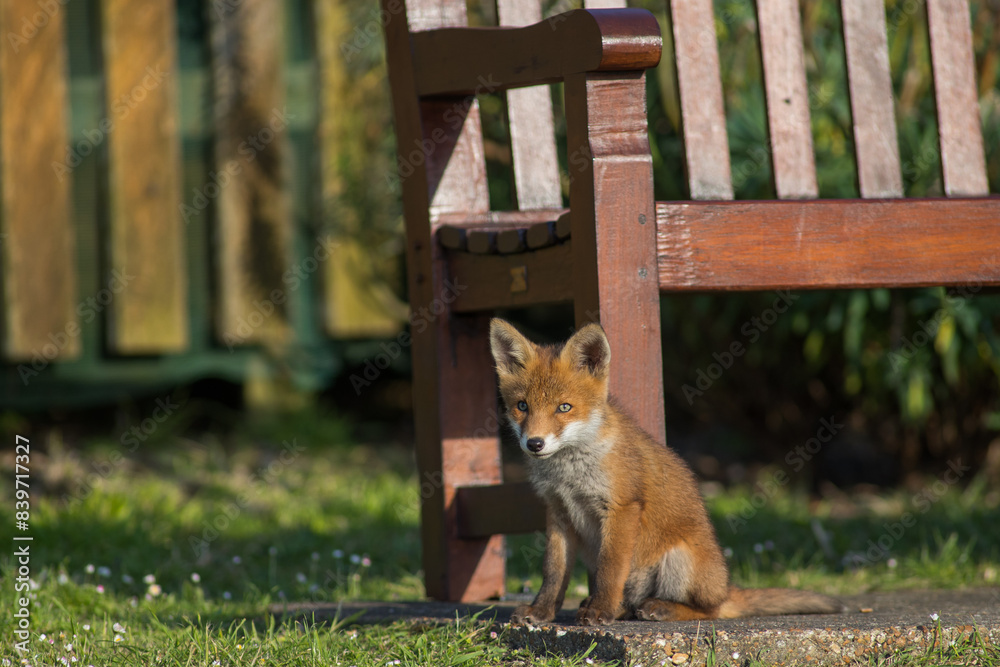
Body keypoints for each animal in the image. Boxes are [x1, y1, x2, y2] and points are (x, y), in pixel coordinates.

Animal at [489, 318, 846, 626]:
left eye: (564, 408)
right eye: (522, 406)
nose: (534, 443)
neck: (570, 474)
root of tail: (725, 587)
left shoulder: (622, 508)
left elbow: (610, 569)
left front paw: (600, 611)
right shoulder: (558, 512)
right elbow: (553, 573)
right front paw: (542, 611)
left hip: (680, 560)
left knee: (709, 611)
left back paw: (656, 608)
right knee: (634, 604)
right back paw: (617, 608)